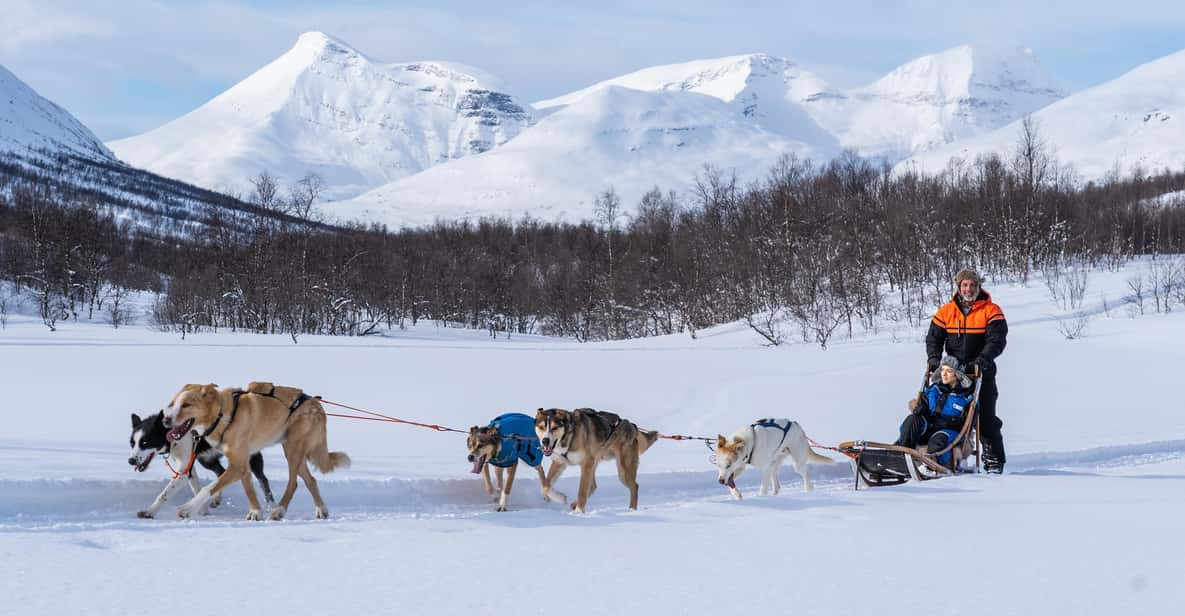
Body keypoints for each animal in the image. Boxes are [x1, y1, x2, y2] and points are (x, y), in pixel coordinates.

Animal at [162, 381, 348, 521]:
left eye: (186, 405)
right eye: (172, 404)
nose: (165, 420)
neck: (223, 416)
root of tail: (315, 403)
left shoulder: (238, 465)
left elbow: (208, 488)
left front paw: (188, 509)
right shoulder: (242, 463)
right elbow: (248, 488)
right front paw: (255, 512)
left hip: (293, 449)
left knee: (293, 483)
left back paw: (279, 510)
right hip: (293, 452)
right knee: (311, 480)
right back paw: (321, 509)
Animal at [535, 409, 663, 514]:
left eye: (554, 428)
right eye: (541, 427)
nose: (545, 441)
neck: (569, 436)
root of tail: (631, 426)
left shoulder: (586, 464)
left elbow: (582, 491)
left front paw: (579, 512)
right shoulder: (559, 462)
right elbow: (545, 485)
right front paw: (558, 497)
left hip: (623, 471)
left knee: (634, 486)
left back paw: (631, 509)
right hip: (596, 463)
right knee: (593, 486)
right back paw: (574, 503)